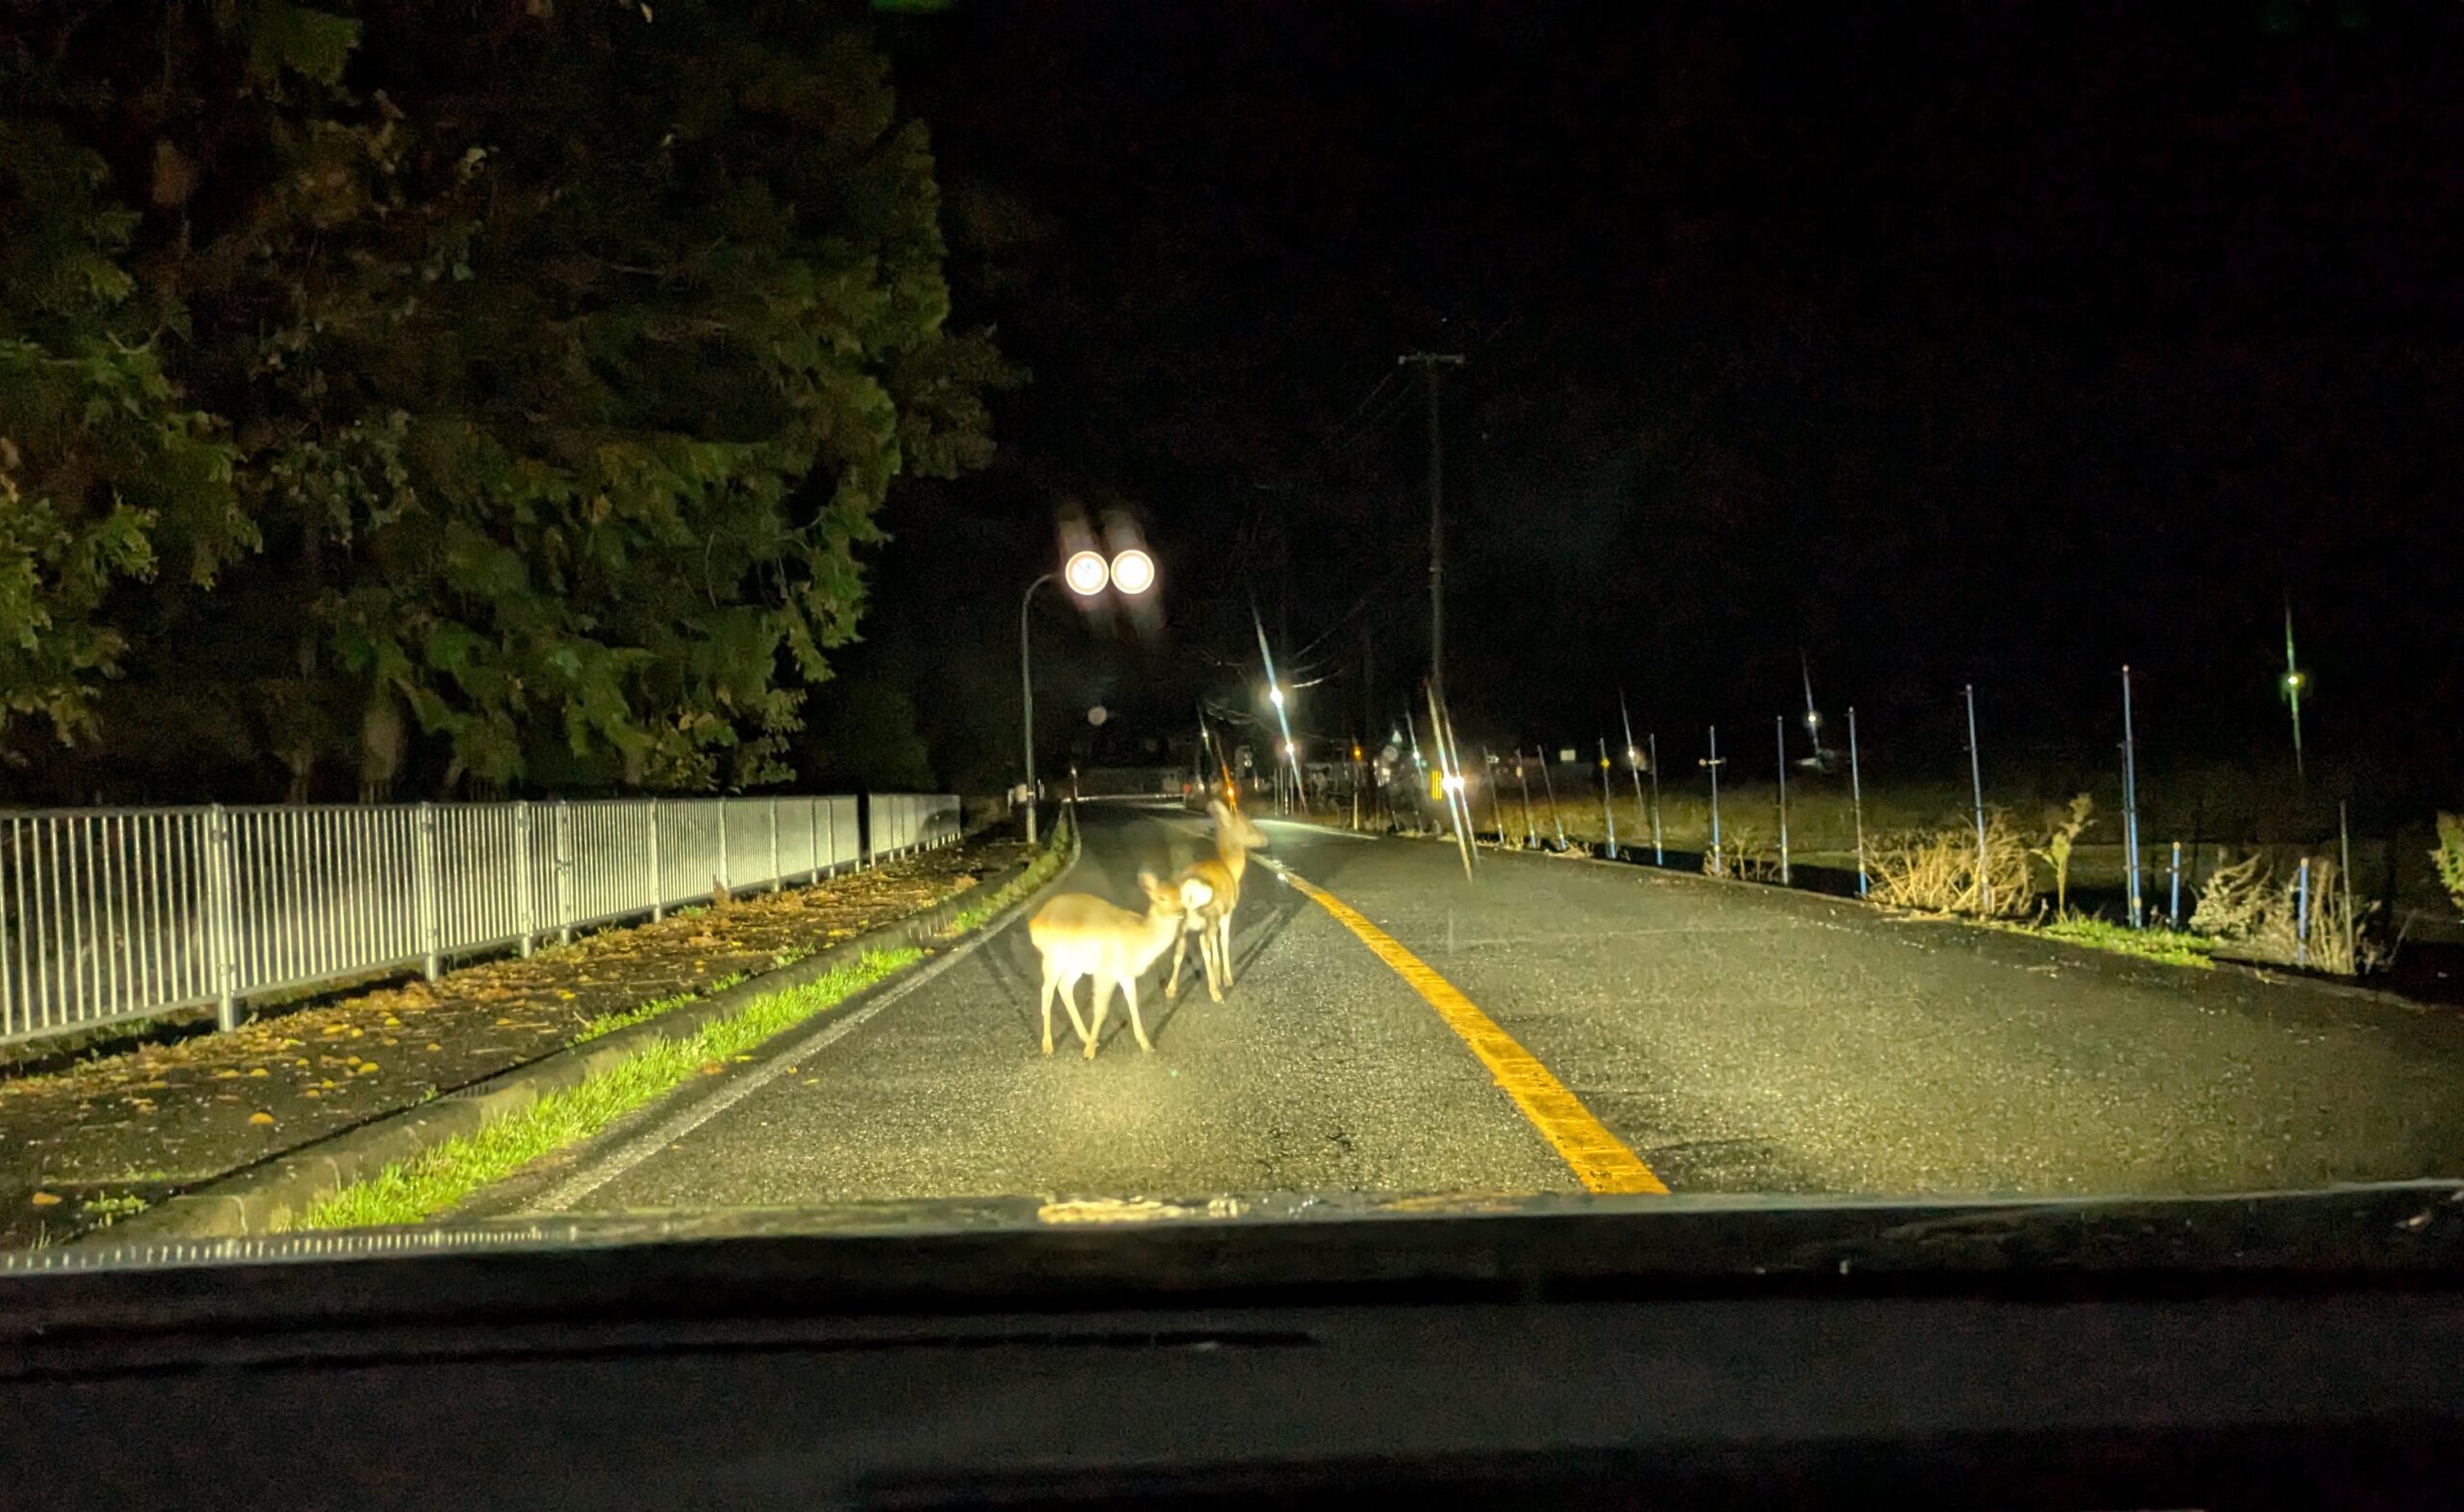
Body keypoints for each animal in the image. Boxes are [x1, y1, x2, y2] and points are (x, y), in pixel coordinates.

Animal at [1024, 876, 1207, 1068]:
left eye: (1180, 896)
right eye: (1162, 898)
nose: (1181, 911)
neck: (1140, 940)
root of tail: (1034, 922)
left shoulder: (1126, 974)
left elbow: (1133, 1003)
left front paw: (1146, 1045)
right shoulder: (1105, 972)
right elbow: (1101, 1010)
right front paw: (1089, 1053)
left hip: (1076, 964)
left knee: (1064, 987)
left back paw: (1086, 1037)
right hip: (1053, 959)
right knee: (1047, 992)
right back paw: (1048, 1045)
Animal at [1163, 807, 1270, 1010]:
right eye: (1247, 825)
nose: (1265, 839)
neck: (1230, 868)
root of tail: (1190, 892)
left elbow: (1214, 943)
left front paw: (1217, 970)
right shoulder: (1227, 912)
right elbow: (1224, 940)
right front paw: (1226, 977)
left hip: (1183, 923)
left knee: (1179, 950)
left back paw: (1170, 990)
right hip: (1209, 916)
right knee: (1202, 942)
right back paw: (1215, 993)